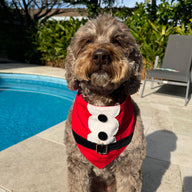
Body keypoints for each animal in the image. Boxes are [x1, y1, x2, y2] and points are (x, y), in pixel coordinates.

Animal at [64, 14, 146, 192]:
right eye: (87, 41)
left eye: (117, 41)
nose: (100, 55)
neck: (101, 104)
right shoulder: (77, 164)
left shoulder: (130, 166)